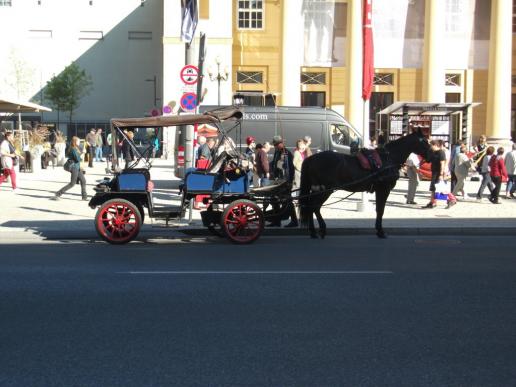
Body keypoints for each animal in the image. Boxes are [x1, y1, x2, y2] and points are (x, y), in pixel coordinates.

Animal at [298, 130, 432, 239]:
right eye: (425, 142)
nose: (432, 155)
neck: (388, 158)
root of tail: (311, 158)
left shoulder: (380, 190)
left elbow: (379, 210)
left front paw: (378, 230)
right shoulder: (384, 189)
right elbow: (381, 210)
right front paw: (381, 231)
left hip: (318, 189)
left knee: (310, 206)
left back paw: (313, 232)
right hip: (325, 190)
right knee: (314, 206)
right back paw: (321, 229)